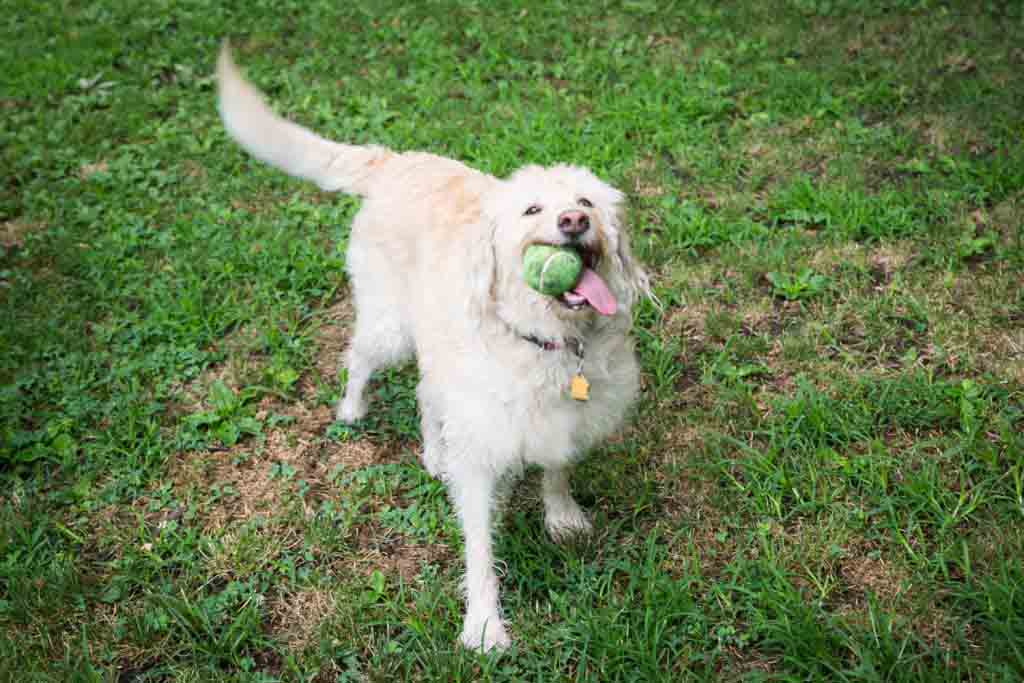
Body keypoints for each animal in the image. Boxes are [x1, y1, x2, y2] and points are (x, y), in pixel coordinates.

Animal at [216, 45, 647, 655]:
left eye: (585, 200)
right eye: (532, 210)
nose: (575, 220)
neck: (549, 341)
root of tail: (395, 161)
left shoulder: (565, 420)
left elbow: (556, 469)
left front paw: (562, 517)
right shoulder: (481, 453)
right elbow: (480, 549)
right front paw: (485, 625)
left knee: (425, 393)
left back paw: (433, 452)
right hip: (390, 328)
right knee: (358, 360)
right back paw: (352, 411)